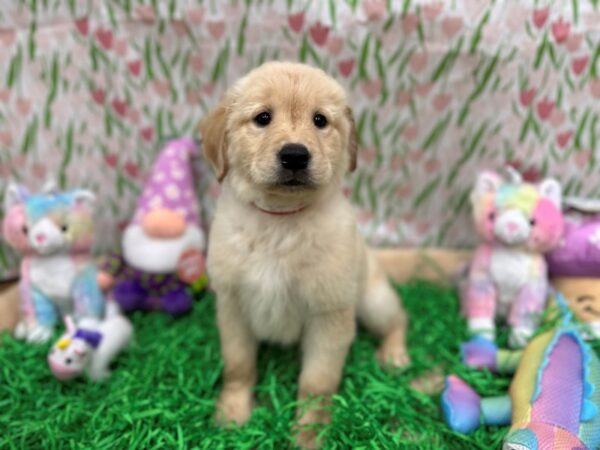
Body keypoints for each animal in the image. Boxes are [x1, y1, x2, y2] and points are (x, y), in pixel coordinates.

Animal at [199, 62, 410, 446]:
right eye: (263, 118)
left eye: (320, 121)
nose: (295, 155)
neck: (280, 222)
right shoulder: (232, 305)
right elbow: (238, 366)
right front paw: (232, 413)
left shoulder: (329, 315)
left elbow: (316, 384)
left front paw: (309, 435)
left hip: (372, 301)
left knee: (399, 318)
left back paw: (394, 354)